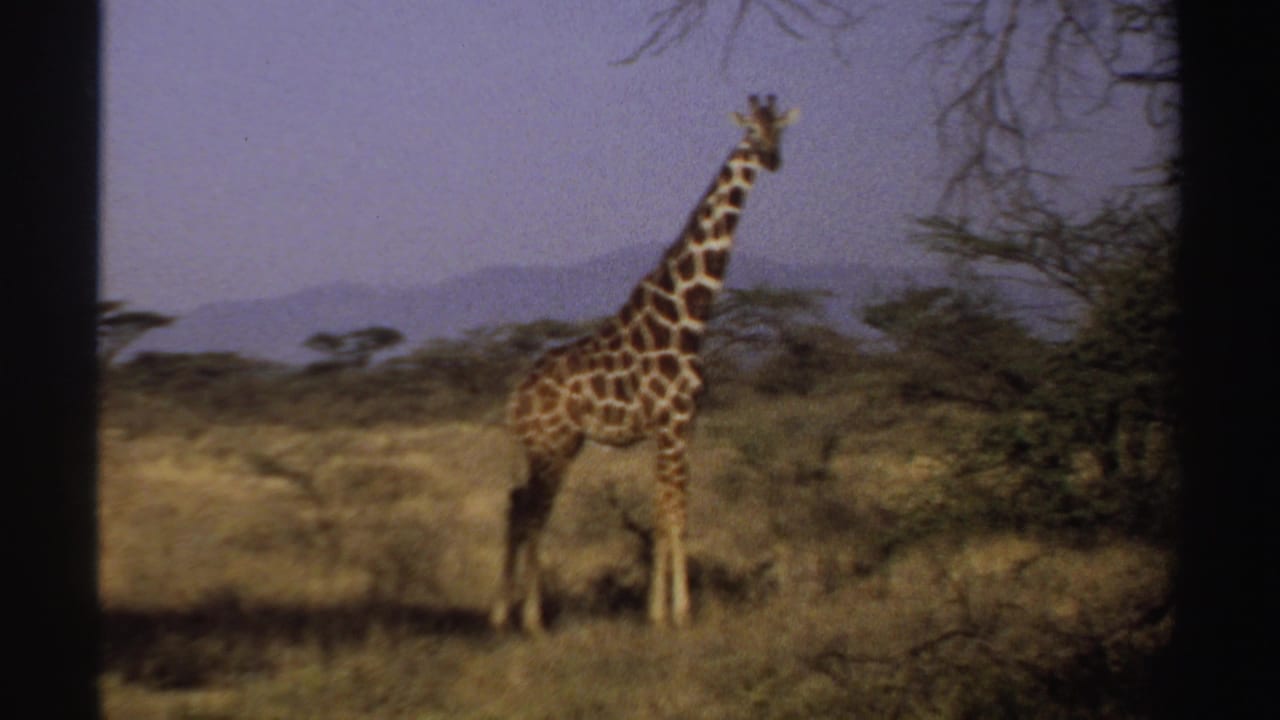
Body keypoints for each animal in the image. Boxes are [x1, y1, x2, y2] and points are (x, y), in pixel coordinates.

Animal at [490, 95, 798, 632]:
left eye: (778, 129)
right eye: (751, 133)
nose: (772, 159)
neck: (687, 316)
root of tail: (516, 399)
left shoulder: (679, 425)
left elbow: (664, 511)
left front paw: (658, 610)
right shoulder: (674, 421)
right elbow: (675, 514)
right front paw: (678, 612)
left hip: (554, 446)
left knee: (518, 506)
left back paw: (503, 614)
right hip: (550, 446)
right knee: (532, 513)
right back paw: (531, 618)